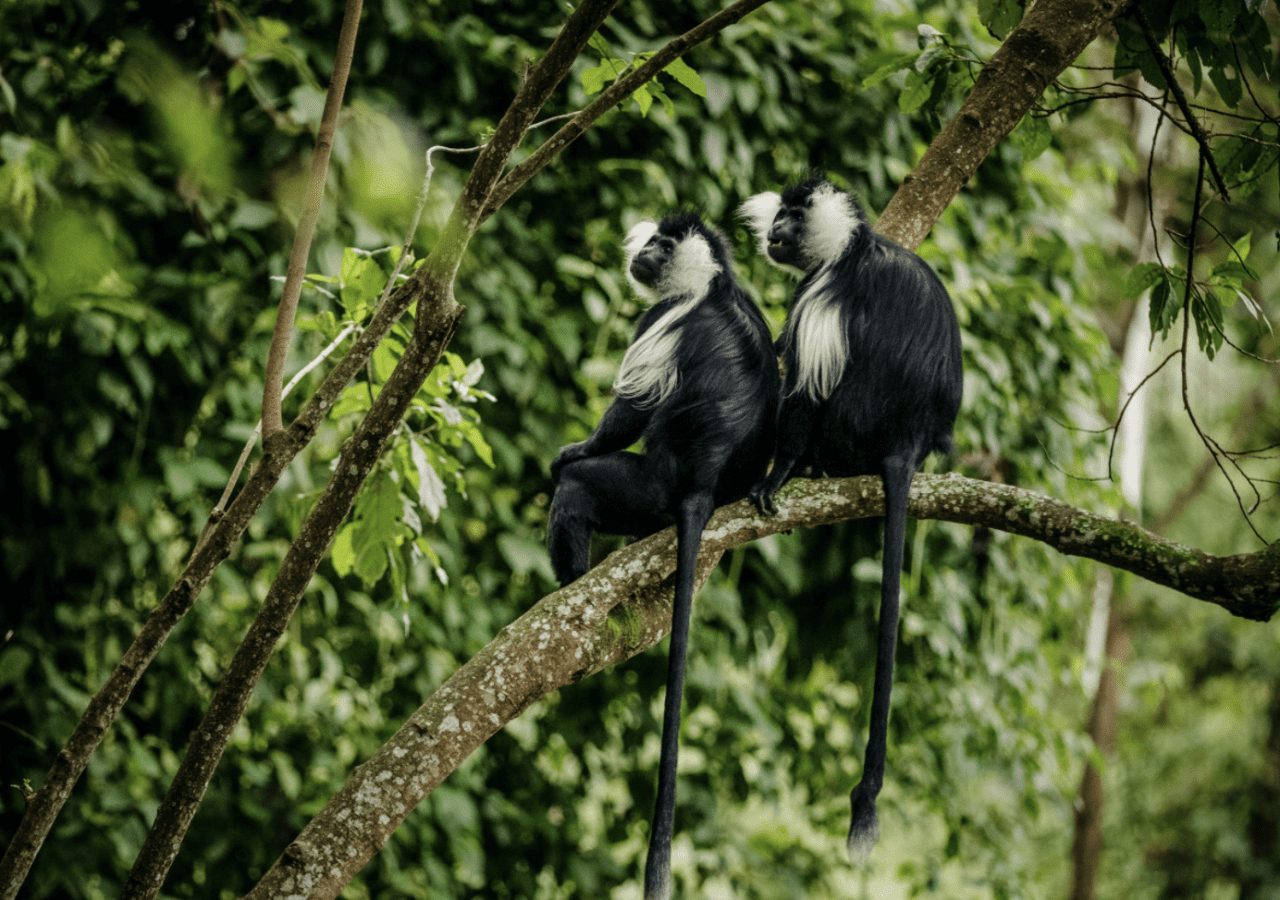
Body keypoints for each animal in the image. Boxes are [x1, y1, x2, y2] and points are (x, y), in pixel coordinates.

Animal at [545, 212, 773, 900]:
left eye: (663, 246)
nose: (643, 252)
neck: (711, 282)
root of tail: (701, 484)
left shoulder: (662, 320)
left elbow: (629, 411)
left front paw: (573, 449)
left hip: (645, 489)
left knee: (582, 490)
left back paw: (571, 582)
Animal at [742, 174, 962, 860]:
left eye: (791, 218)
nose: (773, 232)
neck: (850, 246)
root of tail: (906, 442)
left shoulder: (823, 294)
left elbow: (803, 388)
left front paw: (777, 474)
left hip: (850, 427)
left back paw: (809, 469)